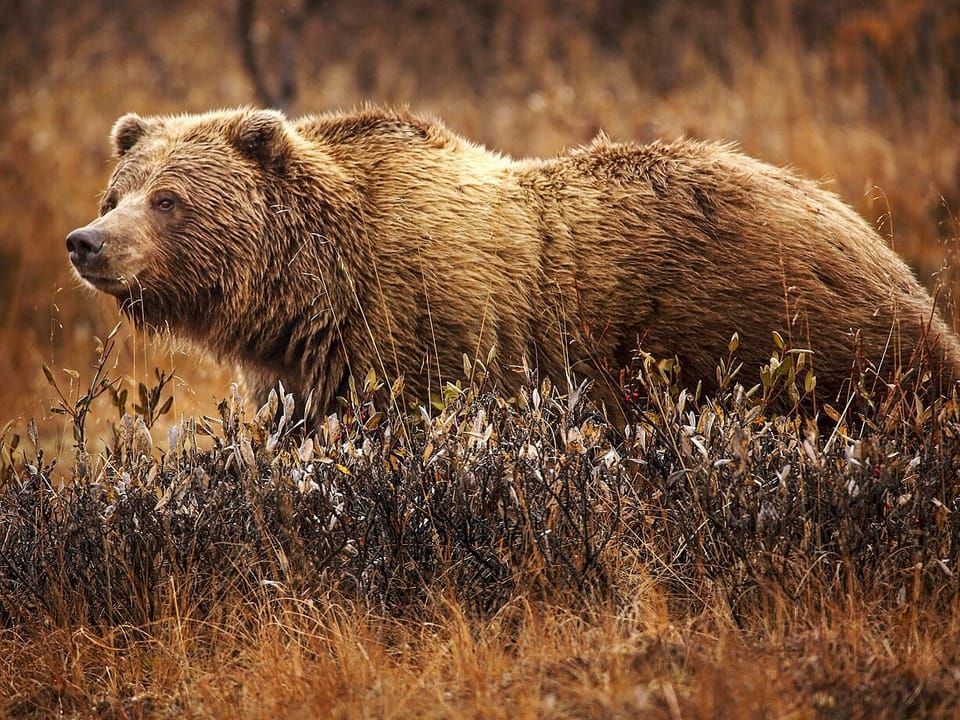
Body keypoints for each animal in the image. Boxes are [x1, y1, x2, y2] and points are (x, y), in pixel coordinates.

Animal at [65, 106, 960, 422]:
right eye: (118, 190)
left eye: (169, 199)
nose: (87, 241)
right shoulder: (307, 370)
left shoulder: (426, 331)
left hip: (790, 336)